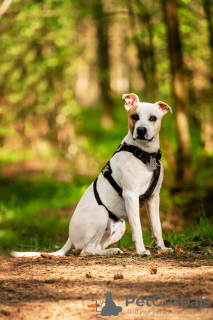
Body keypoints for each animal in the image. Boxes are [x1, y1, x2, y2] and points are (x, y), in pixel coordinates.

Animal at [11, 93, 173, 258]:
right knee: (85, 250)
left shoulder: (154, 197)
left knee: (95, 247)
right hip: (101, 212)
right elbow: (138, 228)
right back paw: (110, 251)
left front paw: (162, 247)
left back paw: (111, 250)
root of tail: (70, 238)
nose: (141, 130)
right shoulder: (131, 195)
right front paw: (141, 250)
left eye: (153, 118)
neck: (146, 154)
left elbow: (157, 226)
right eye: (134, 116)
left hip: (119, 225)